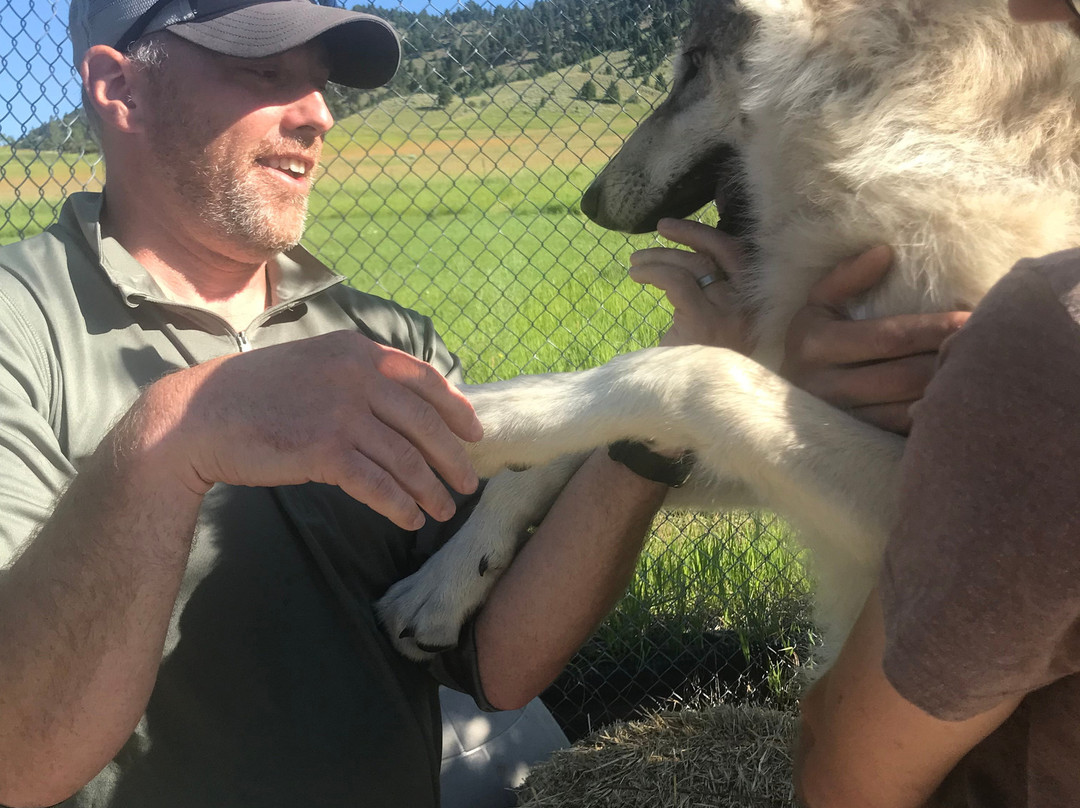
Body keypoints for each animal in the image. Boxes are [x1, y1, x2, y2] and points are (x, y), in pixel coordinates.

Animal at [377, 0, 1080, 666]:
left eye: (691, 66)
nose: (588, 201)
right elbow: (561, 457)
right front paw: (442, 582)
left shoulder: (929, 524)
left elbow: (694, 372)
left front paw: (479, 417)